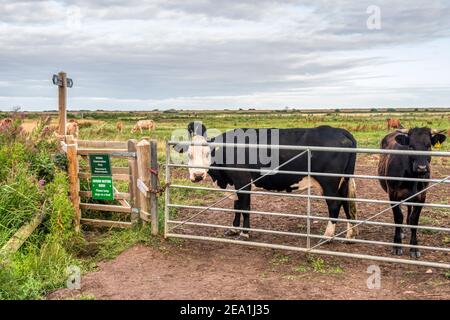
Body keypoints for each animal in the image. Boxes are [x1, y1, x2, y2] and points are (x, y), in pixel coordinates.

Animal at [376, 127, 446, 258]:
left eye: (428, 146)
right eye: (411, 147)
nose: (422, 168)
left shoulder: (422, 196)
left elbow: (414, 220)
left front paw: (414, 247)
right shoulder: (392, 194)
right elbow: (398, 217)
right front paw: (397, 245)